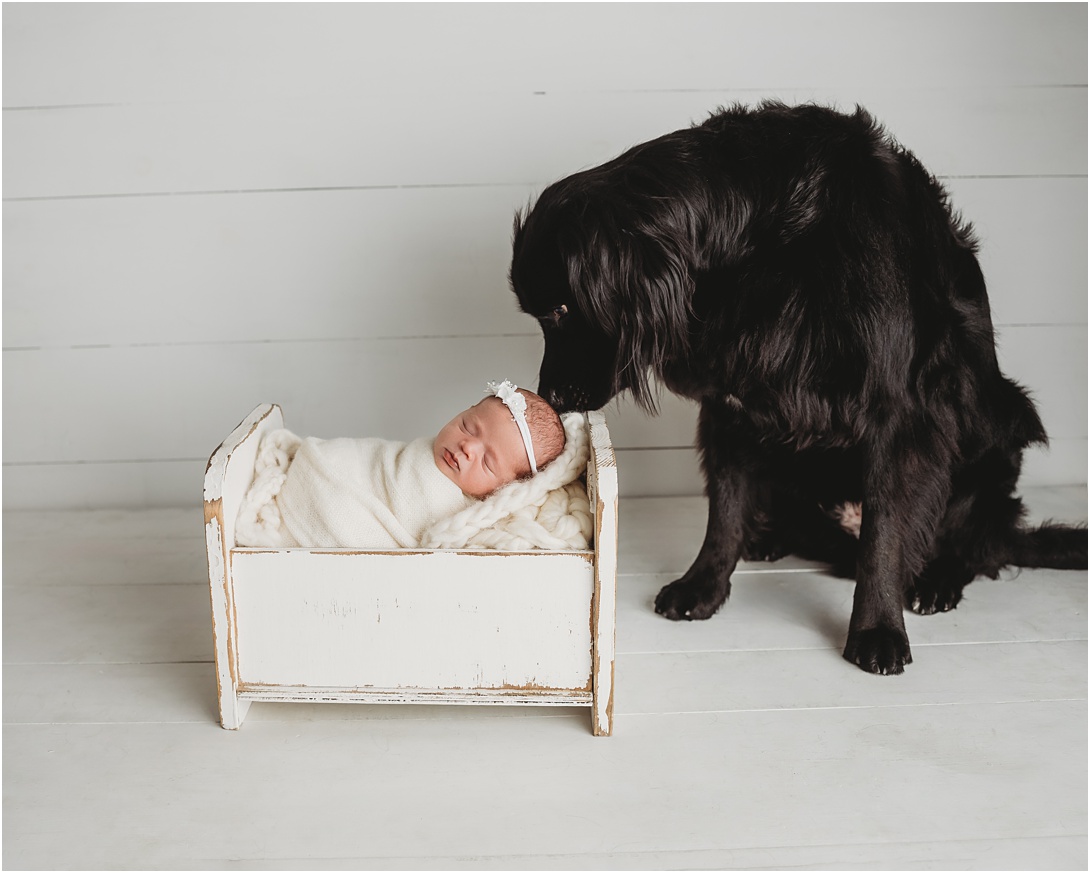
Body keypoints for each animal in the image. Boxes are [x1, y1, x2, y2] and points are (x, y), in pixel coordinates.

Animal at [512, 100, 1090, 675]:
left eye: (561, 310)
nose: (550, 397)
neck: (760, 242)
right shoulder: (729, 405)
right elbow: (723, 512)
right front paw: (704, 585)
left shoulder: (898, 414)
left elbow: (884, 535)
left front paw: (877, 629)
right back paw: (769, 539)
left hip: (1001, 429)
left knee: (977, 546)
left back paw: (937, 580)